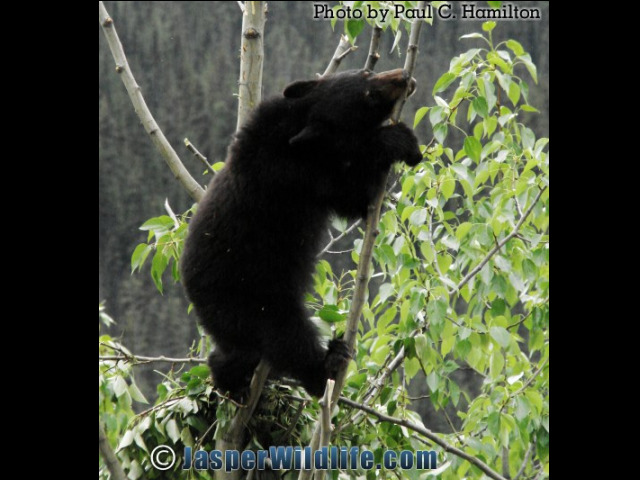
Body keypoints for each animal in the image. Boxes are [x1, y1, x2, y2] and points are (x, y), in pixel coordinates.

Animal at [180, 68, 422, 398]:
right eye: (368, 96)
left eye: (367, 72)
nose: (404, 77)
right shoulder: (289, 175)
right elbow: (351, 184)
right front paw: (393, 141)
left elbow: (355, 199)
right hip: (250, 301)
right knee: (287, 340)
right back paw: (327, 367)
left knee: (239, 354)